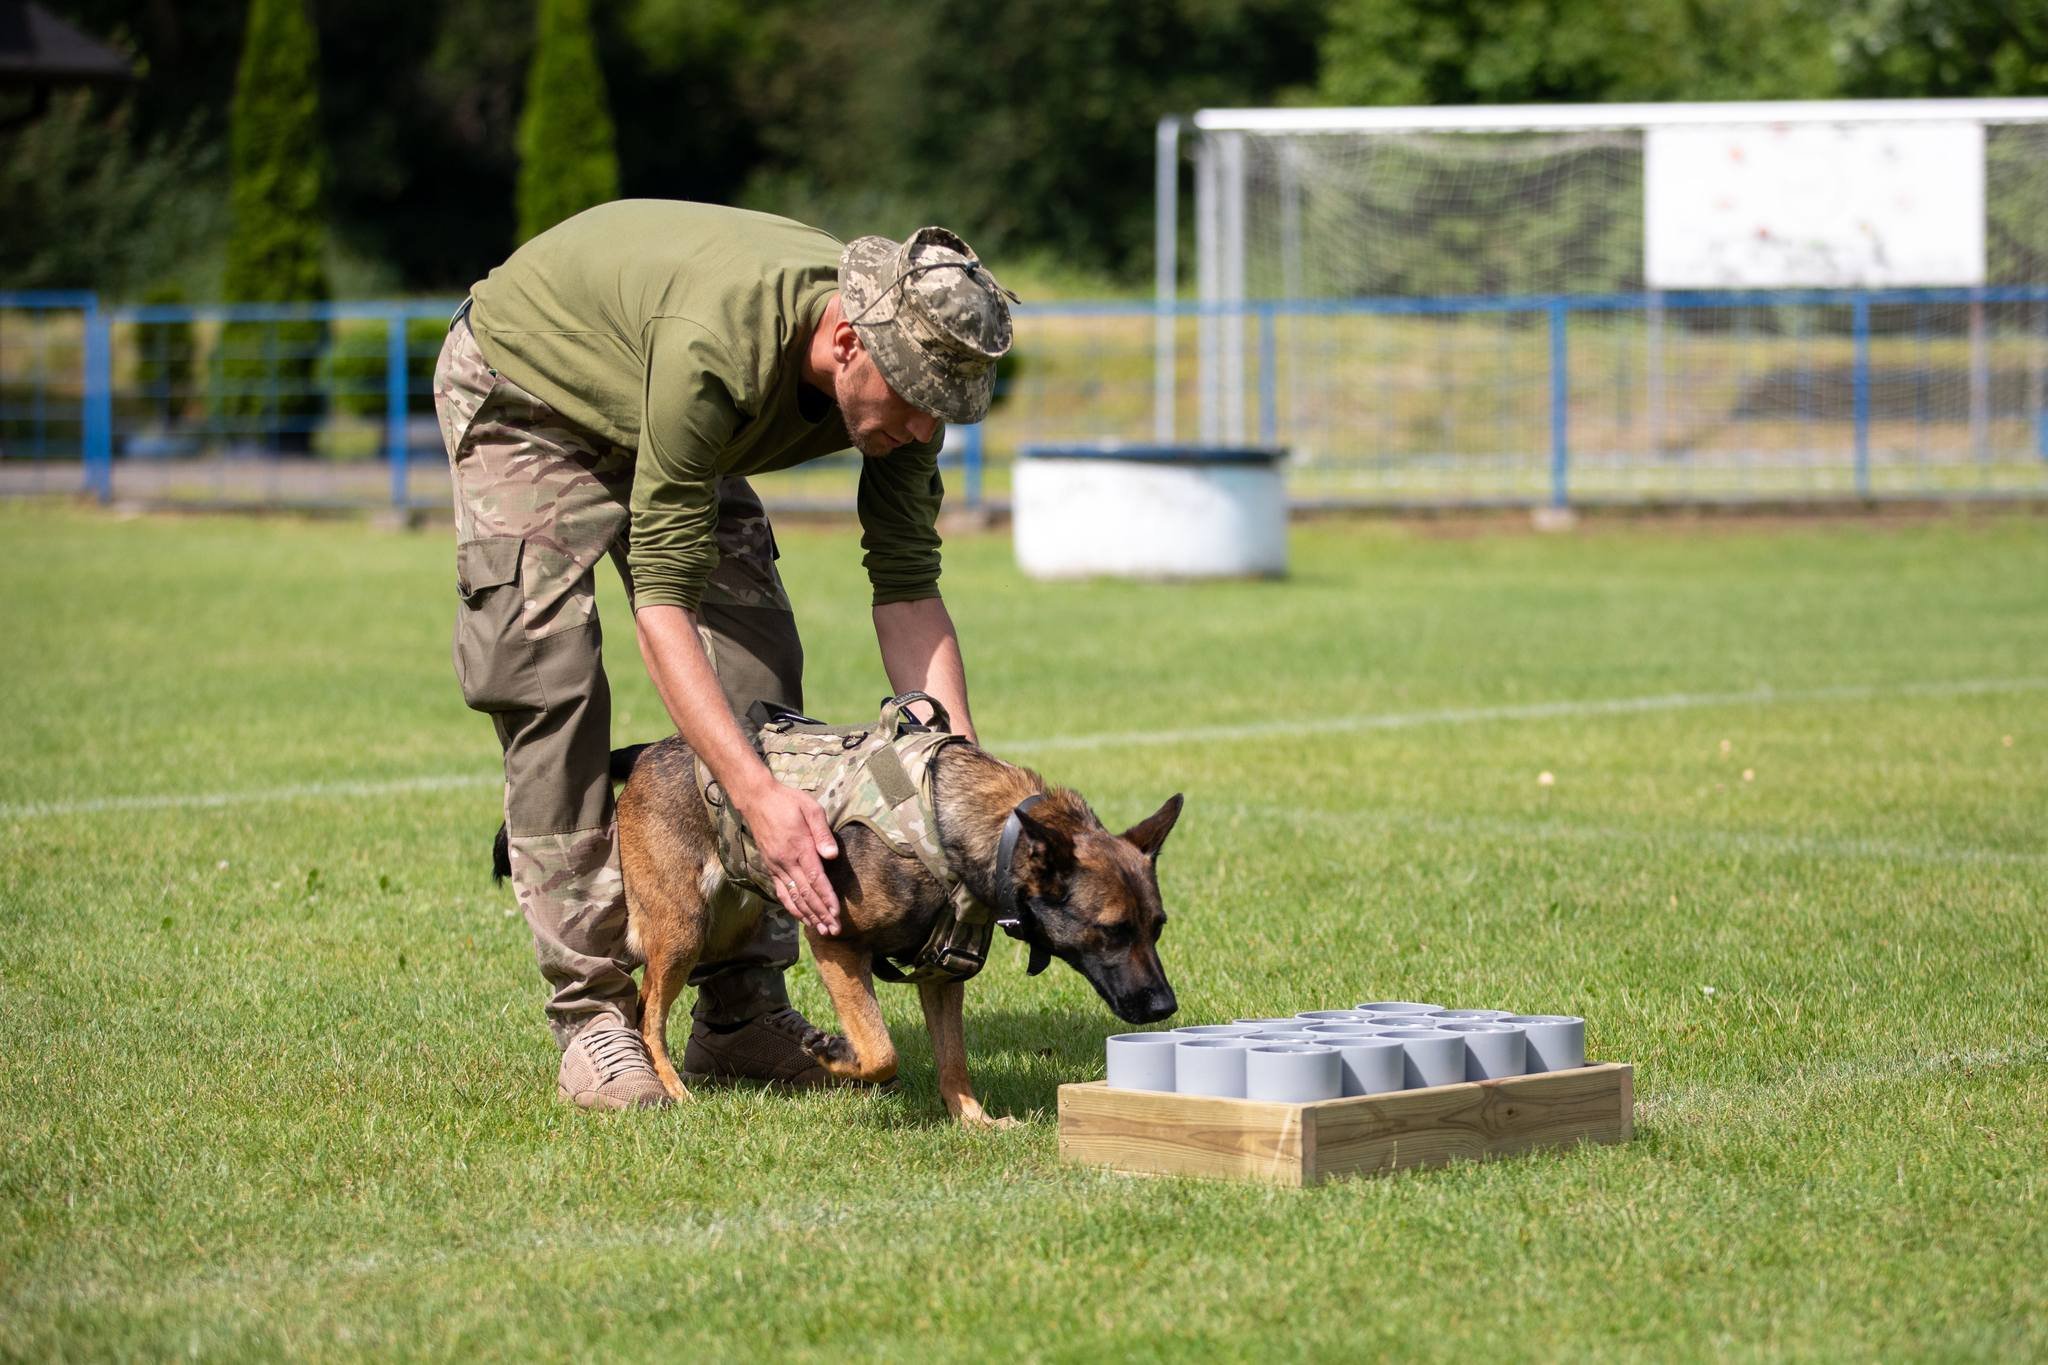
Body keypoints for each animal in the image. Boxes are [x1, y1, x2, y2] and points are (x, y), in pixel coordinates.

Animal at [610, 720, 1187, 1129]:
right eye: (1112, 930)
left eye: (1157, 927)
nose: (1166, 1007)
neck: (964, 833)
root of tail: (650, 750)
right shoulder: (834, 942)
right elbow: (881, 1050)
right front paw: (837, 1054)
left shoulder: (943, 974)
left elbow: (953, 1059)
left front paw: (973, 1120)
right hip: (685, 929)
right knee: (649, 1013)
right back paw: (671, 1089)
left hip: (727, 924)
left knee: (652, 998)